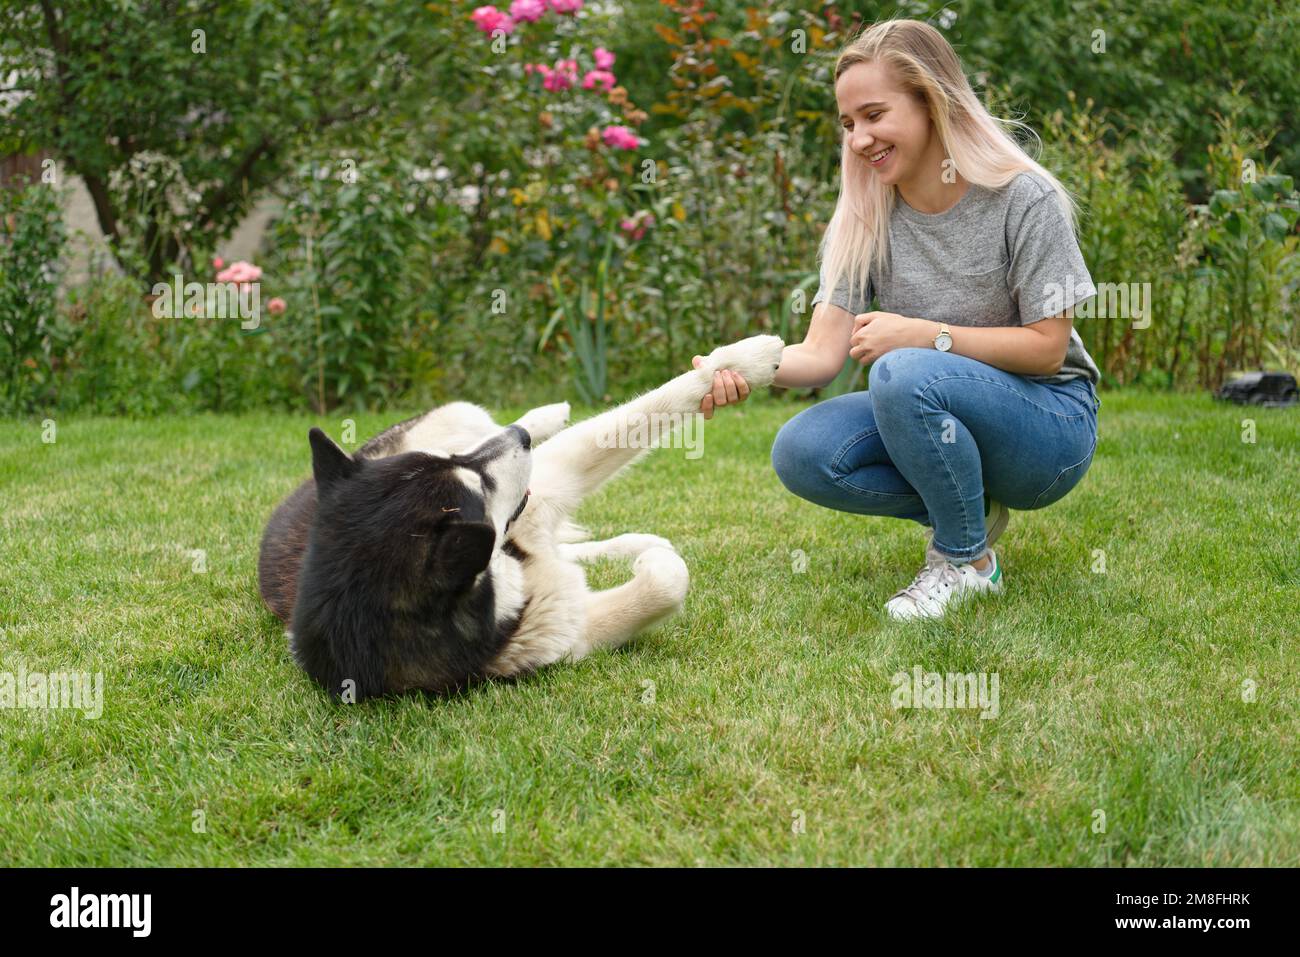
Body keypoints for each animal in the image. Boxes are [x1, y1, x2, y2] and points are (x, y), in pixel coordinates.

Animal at [253, 332, 780, 696]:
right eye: (479, 490)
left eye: (453, 464)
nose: (518, 440)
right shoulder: (559, 631)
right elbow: (666, 580)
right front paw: (652, 564)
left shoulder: (537, 487)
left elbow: (652, 405)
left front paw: (748, 357)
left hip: (456, 416)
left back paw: (545, 416)